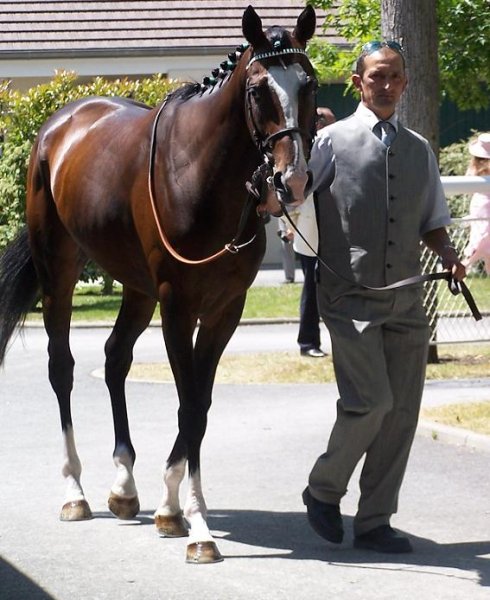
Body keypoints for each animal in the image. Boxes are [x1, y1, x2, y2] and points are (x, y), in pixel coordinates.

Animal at [0, 5, 318, 564]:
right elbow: (189, 404)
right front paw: (198, 526)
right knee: (62, 367)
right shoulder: (178, 305)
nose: (293, 180)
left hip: (137, 288)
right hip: (59, 269)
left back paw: (124, 488)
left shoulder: (224, 310)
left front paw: (170, 506)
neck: (201, 175)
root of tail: (60, 123)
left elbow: (201, 406)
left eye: (311, 83)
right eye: (259, 89)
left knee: (114, 359)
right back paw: (75, 492)